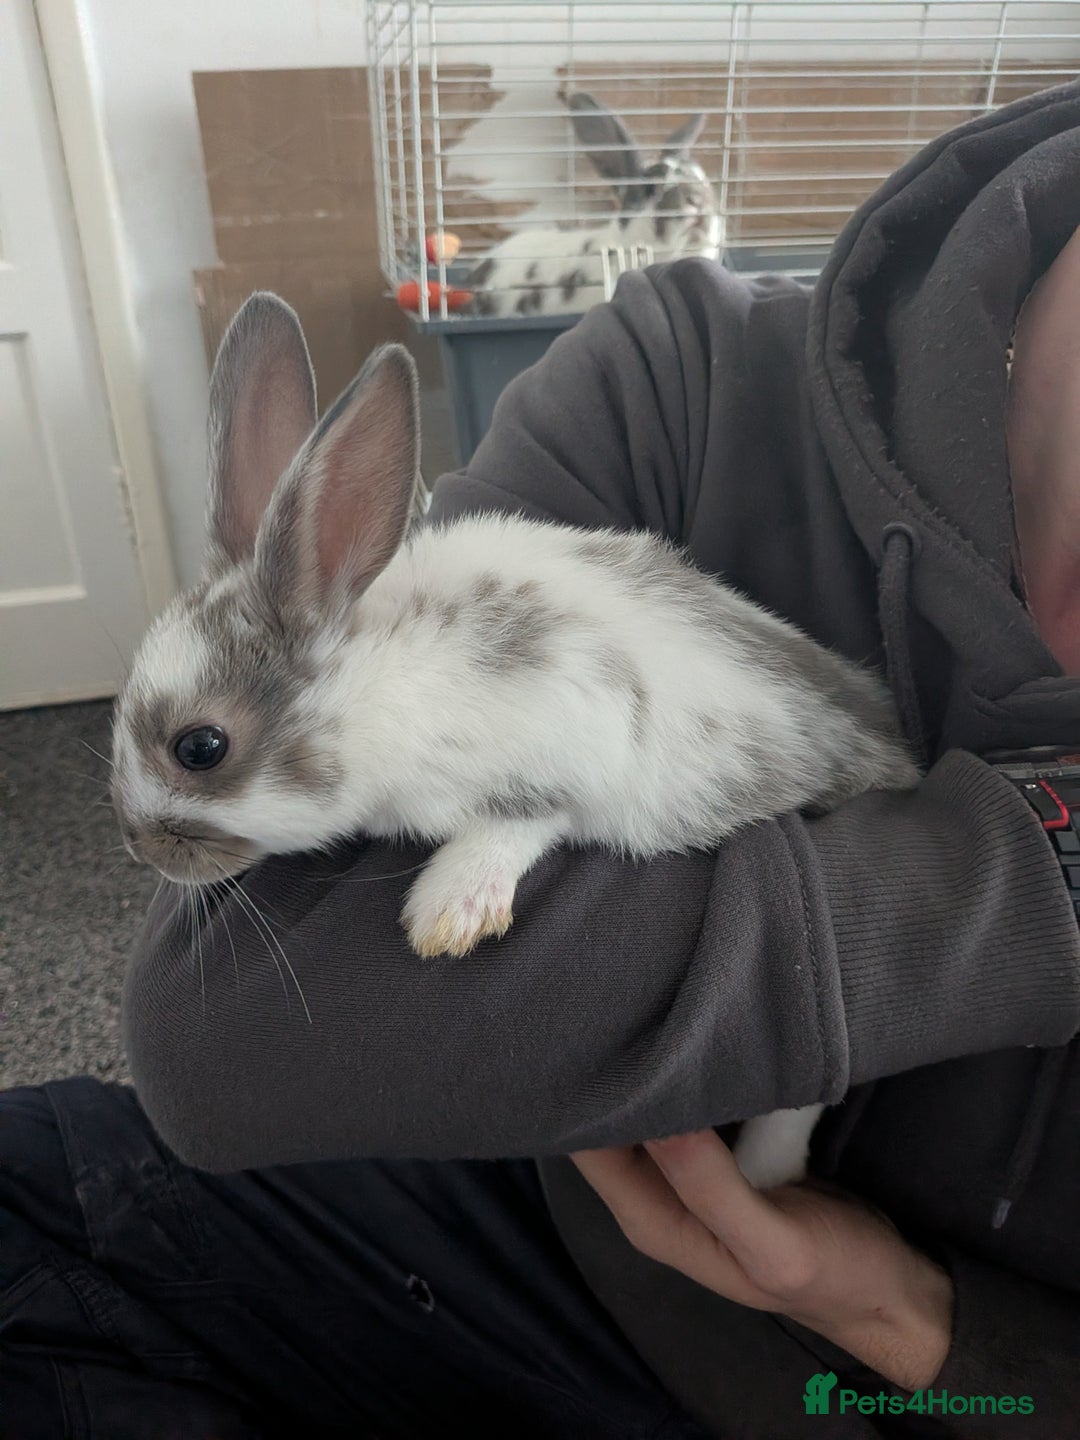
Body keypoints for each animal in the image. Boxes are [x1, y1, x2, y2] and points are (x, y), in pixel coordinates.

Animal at [111, 293, 918, 1188]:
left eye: (200, 747)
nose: (142, 845)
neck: (374, 679)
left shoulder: (584, 719)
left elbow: (528, 816)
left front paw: (449, 909)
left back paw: (761, 1171)